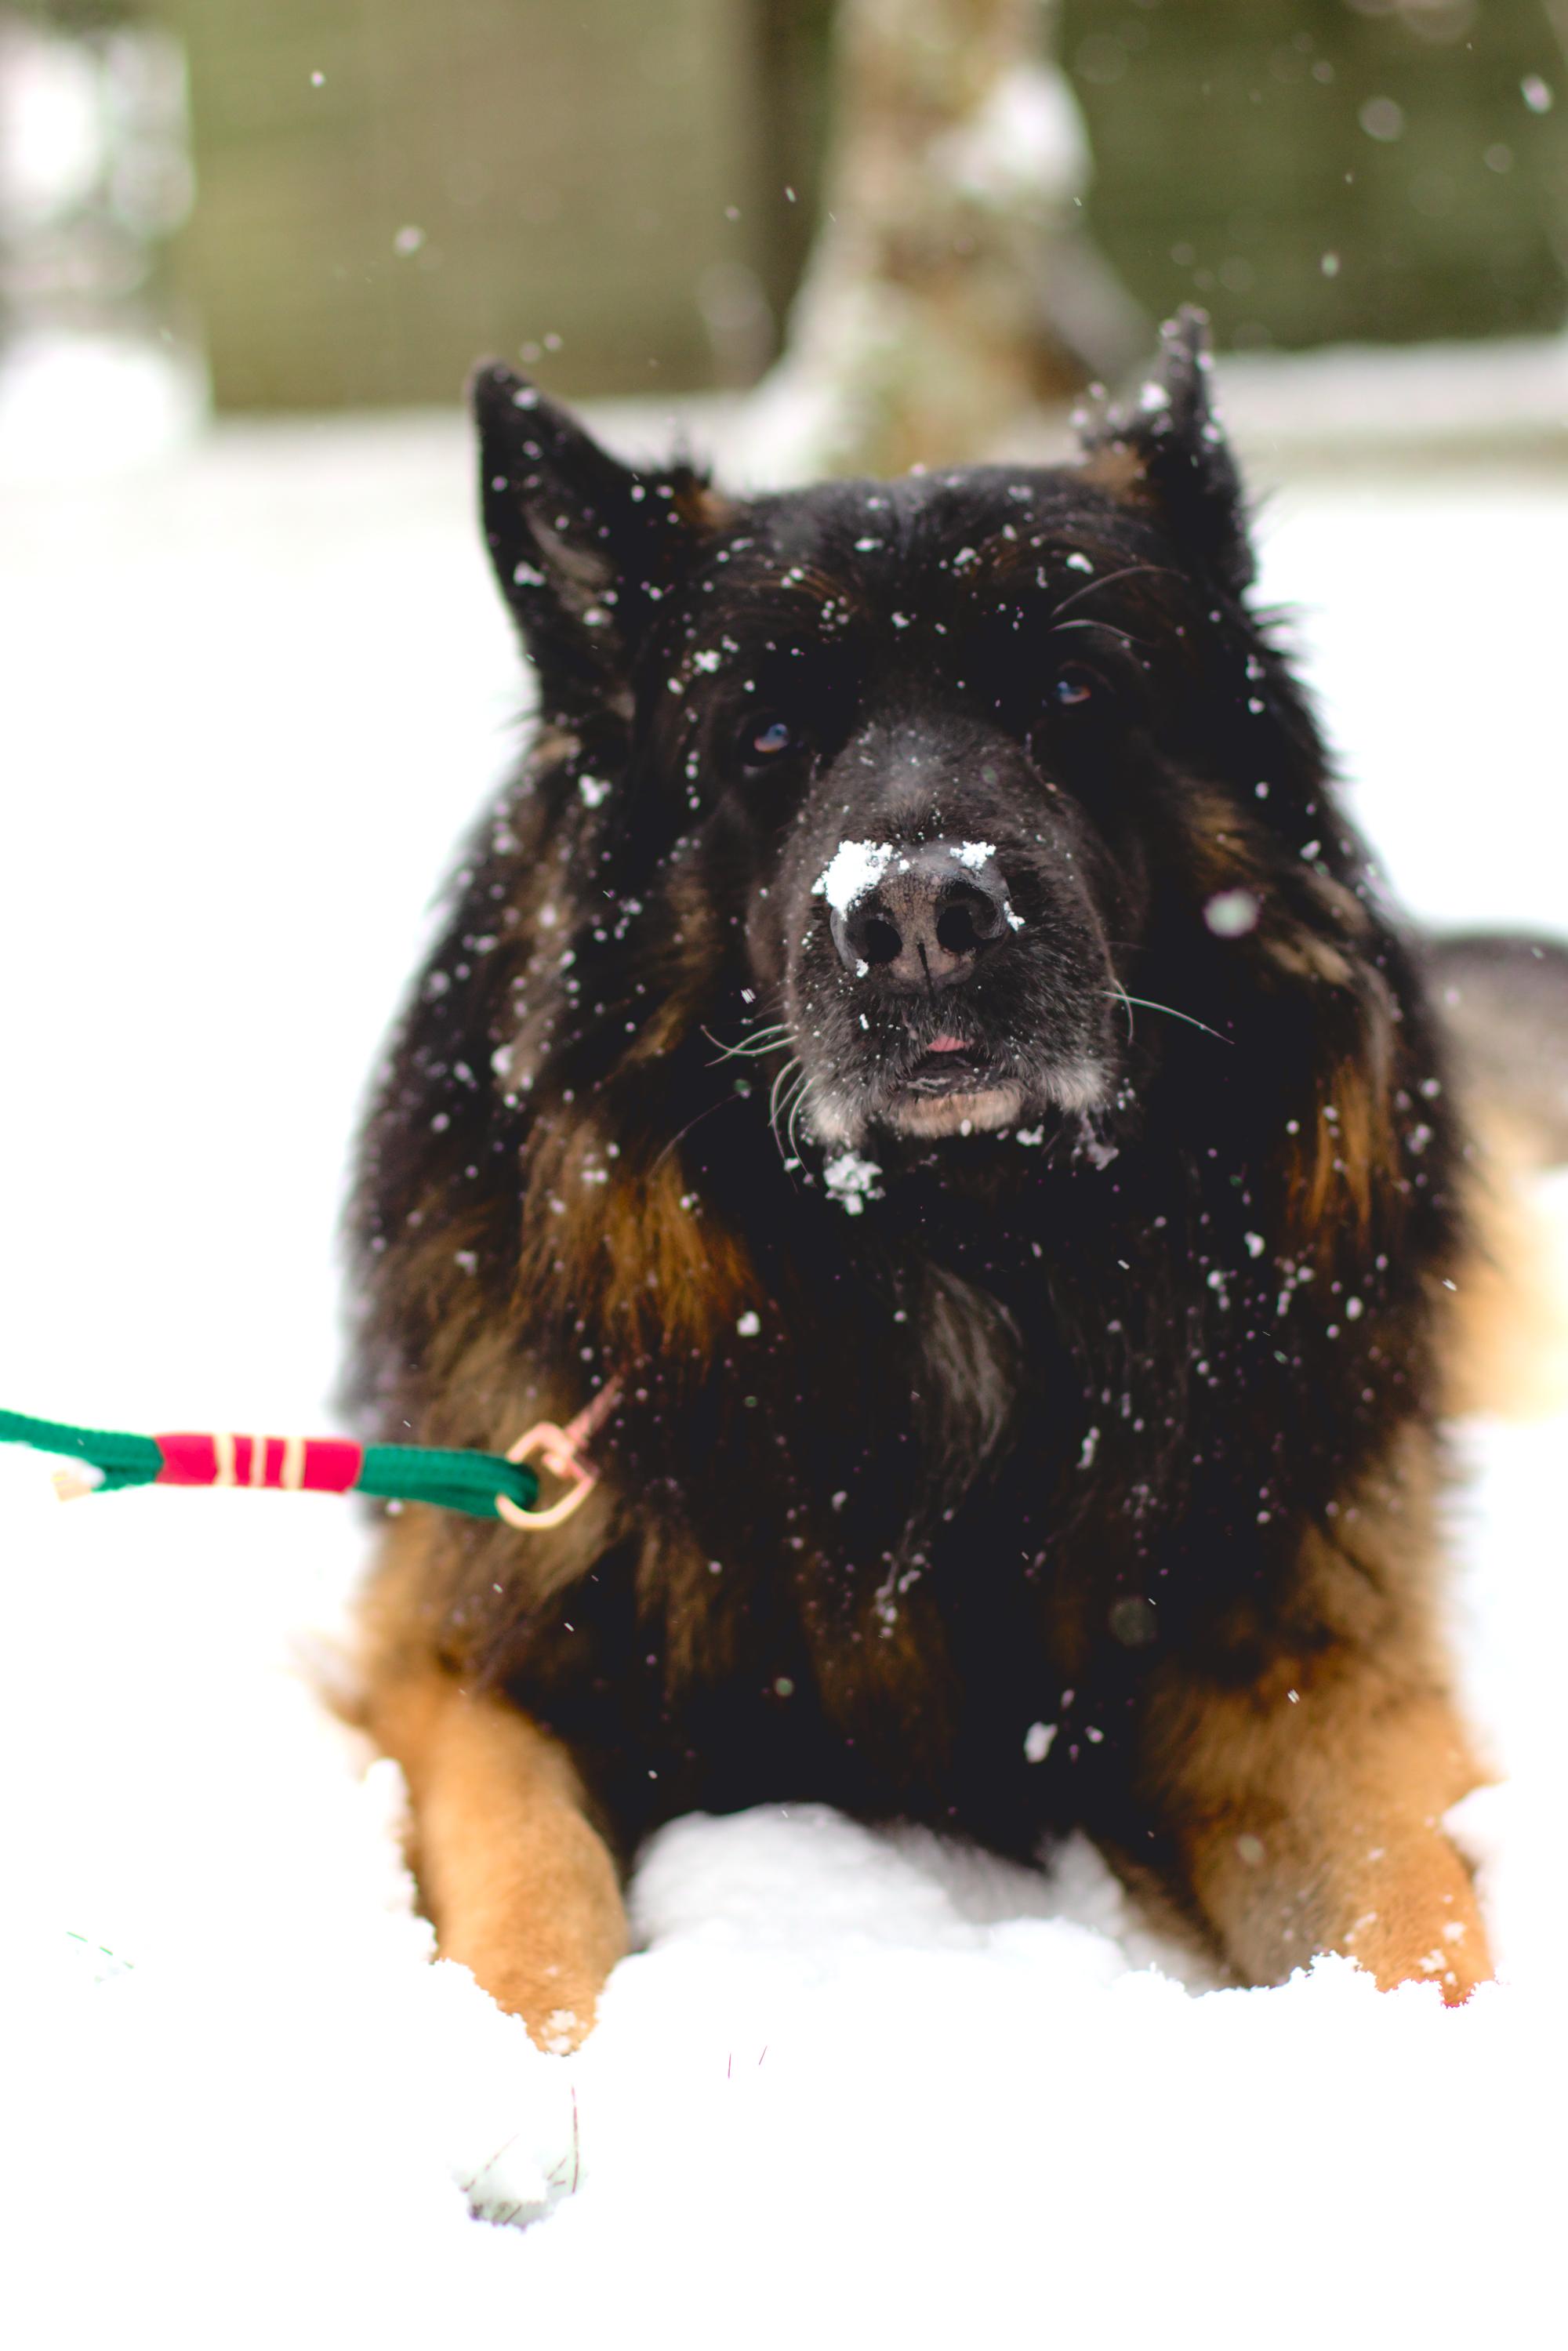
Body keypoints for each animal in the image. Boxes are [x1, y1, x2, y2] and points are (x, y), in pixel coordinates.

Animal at [350, 307, 1552, 2041]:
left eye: (1073, 684)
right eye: (766, 733)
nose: (919, 914)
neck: (962, 1252)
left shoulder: (1299, 1662)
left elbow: (1412, 1917)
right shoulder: (467, 1659)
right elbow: (527, 1890)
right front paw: (528, 2075)